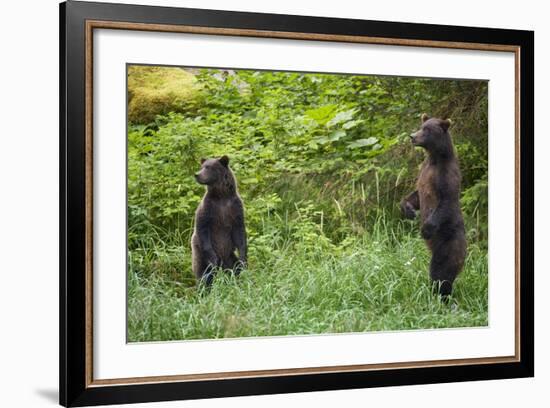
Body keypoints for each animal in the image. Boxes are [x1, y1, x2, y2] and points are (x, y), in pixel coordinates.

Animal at [192, 155, 248, 286]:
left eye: (208, 167)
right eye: (202, 167)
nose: (197, 174)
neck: (221, 195)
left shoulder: (235, 208)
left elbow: (240, 233)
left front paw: (243, 258)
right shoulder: (209, 208)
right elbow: (202, 227)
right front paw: (213, 258)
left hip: (229, 256)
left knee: (235, 267)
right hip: (199, 254)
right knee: (204, 274)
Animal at [404, 113, 468, 298]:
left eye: (427, 130)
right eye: (421, 126)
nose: (412, 136)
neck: (435, 158)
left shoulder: (446, 175)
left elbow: (446, 201)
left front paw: (425, 229)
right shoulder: (424, 171)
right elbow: (416, 194)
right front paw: (408, 209)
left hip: (449, 245)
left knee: (441, 273)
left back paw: (441, 296)